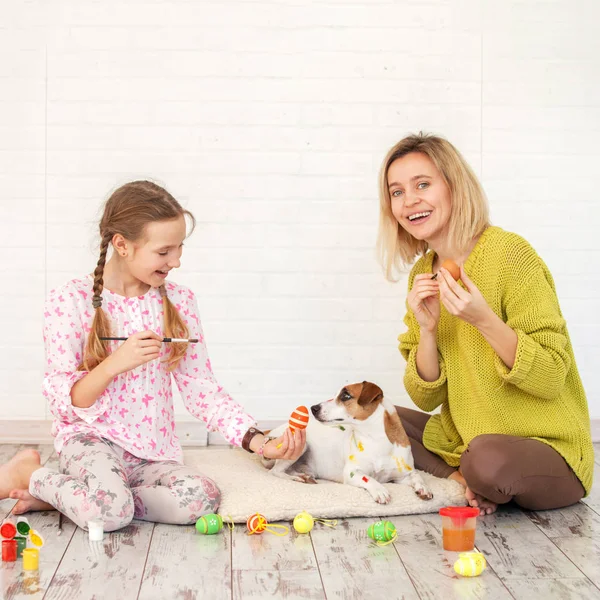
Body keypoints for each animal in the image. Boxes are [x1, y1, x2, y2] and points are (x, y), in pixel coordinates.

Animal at [264, 382, 432, 504]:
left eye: (345, 395)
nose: (313, 408)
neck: (376, 441)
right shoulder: (351, 473)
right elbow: (369, 479)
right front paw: (379, 490)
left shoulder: (401, 476)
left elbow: (417, 476)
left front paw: (424, 488)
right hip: (300, 443)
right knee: (275, 471)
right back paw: (295, 478)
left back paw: (303, 476)